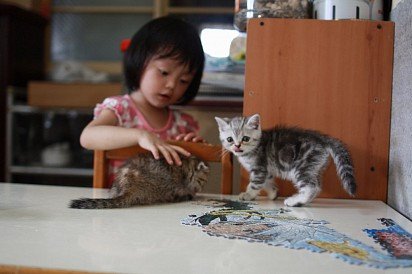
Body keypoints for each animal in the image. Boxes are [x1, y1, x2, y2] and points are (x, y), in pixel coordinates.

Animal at [69, 153, 209, 209]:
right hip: (158, 184)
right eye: (202, 181)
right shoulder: (178, 184)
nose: (200, 188)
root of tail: (128, 185)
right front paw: (191, 194)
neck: (186, 164)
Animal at [214, 113, 356, 206]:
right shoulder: (267, 170)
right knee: (317, 186)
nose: (237, 146)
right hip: (314, 167)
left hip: (301, 166)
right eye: (230, 139)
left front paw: (248, 195)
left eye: (245, 139)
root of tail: (321, 138)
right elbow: (267, 181)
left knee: (311, 187)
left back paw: (294, 201)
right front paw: (273, 193)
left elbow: (255, 183)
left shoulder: (260, 167)